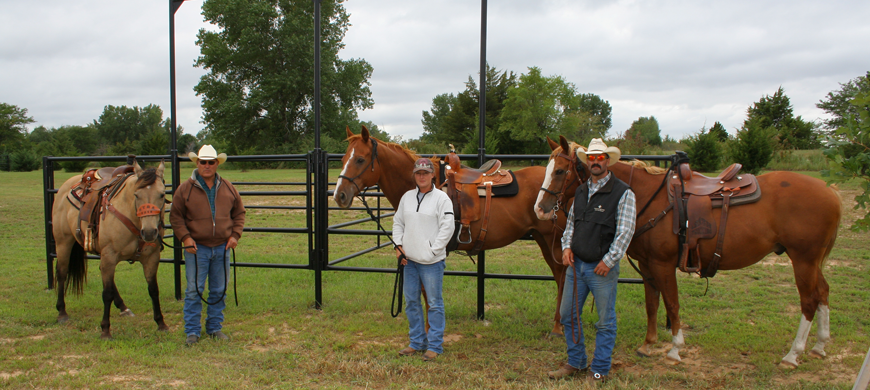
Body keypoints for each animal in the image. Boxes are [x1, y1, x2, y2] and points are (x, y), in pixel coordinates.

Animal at [52, 158, 170, 338]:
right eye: (137, 195)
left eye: (162, 194)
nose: (149, 232)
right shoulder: (110, 255)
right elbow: (106, 293)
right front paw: (105, 330)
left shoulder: (151, 258)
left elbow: (153, 290)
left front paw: (161, 323)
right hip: (63, 242)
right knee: (62, 273)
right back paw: (62, 313)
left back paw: (123, 307)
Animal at [334, 125, 580, 336]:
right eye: (343, 159)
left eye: (360, 159)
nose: (339, 196)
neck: (425, 189)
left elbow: (428, 292)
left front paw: (429, 332)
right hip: (543, 240)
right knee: (559, 275)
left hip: (552, 239)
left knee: (562, 276)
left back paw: (559, 326)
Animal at [536, 136, 840, 368]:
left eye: (560, 171)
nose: (540, 208)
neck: (644, 195)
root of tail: (830, 191)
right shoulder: (647, 266)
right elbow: (652, 303)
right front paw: (648, 345)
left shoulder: (663, 264)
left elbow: (672, 304)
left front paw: (674, 350)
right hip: (813, 262)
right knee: (824, 292)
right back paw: (820, 346)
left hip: (803, 260)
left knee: (809, 301)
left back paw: (793, 354)